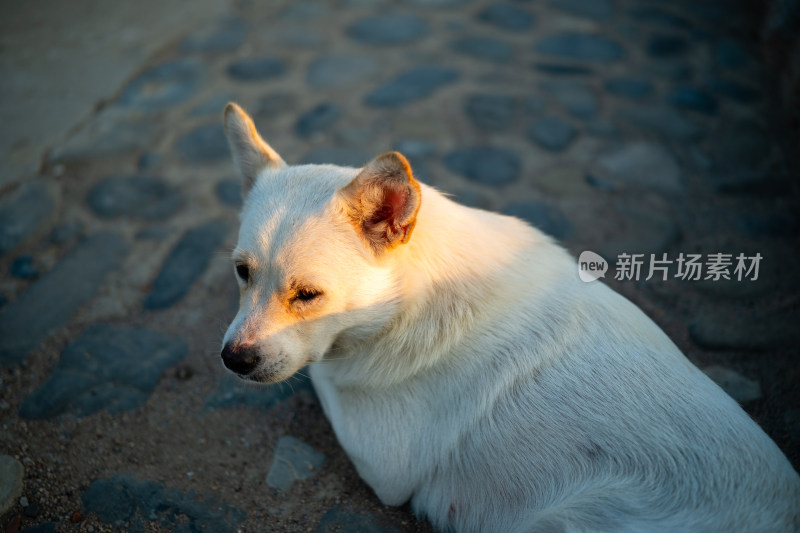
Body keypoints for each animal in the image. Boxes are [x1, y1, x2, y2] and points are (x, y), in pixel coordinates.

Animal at [219, 102, 800, 528]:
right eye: (242, 272)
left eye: (308, 295)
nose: (232, 360)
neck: (406, 304)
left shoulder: (382, 460)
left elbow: (320, 372)